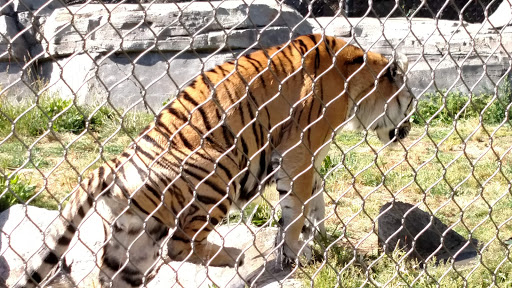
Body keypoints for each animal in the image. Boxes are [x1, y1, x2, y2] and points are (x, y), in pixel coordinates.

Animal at [16, 33, 414, 286]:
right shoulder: (299, 150)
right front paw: (294, 250)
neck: (356, 83)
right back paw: (232, 254)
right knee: (179, 247)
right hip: (218, 175)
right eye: (410, 101)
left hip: (131, 237)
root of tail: (112, 165)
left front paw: (314, 239)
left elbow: (314, 196)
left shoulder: (309, 155)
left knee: (118, 272)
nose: (409, 128)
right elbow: (298, 203)